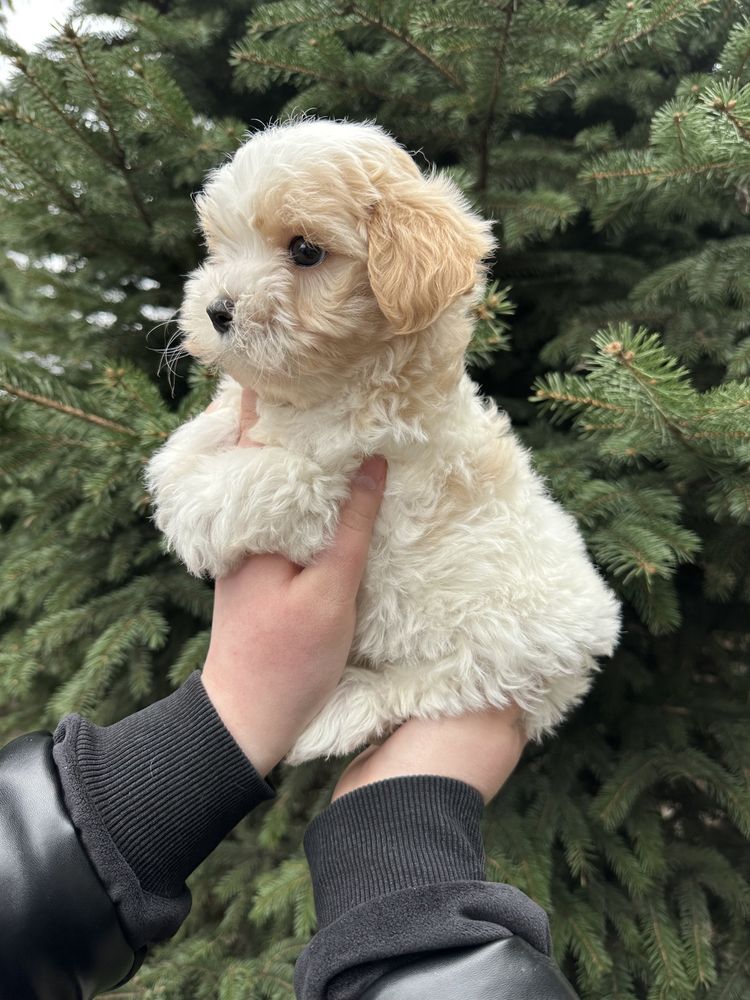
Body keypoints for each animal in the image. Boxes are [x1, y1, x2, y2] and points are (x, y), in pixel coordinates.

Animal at [148, 117, 624, 760]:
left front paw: (188, 508)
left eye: (305, 251)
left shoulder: (334, 487)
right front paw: (179, 457)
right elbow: (217, 424)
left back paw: (340, 712)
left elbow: (271, 476)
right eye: (218, 247)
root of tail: (587, 646)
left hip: (492, 649)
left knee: (432, 689)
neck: (340, 387)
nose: (216, 311)